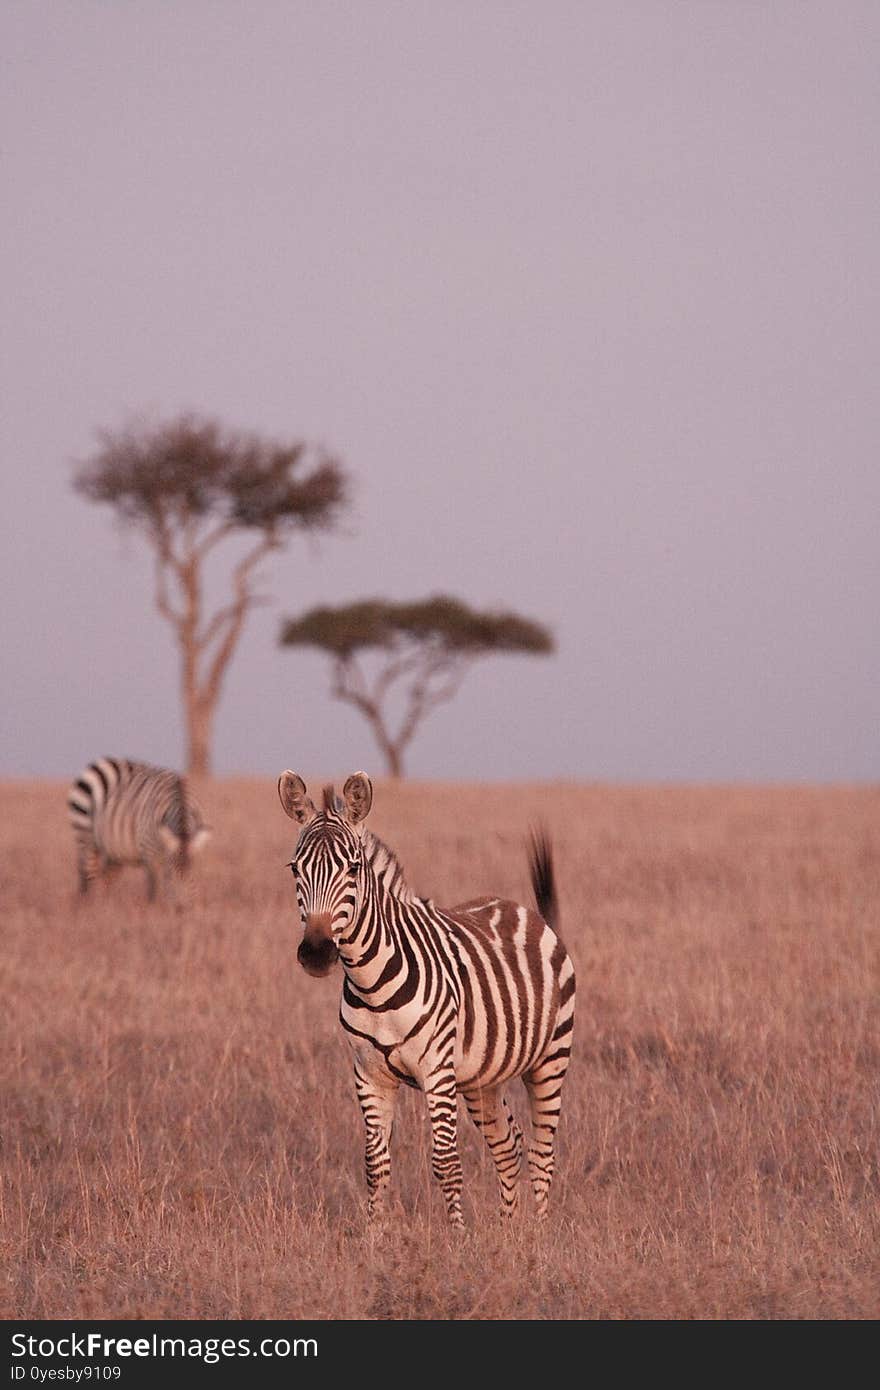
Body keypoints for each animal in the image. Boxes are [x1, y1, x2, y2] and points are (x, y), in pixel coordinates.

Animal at [67, 761, 208, 900]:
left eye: (192, 874)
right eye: (172, 874)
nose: (182, 906)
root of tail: (98, 763)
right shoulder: (149, 850)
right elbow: (153, 887)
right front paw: (154, 906)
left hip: (114, 851)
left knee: (106, 877)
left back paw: (108, 903)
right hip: (86, 836)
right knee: (89, 876)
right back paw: (92, 904)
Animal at [278, 772, 572, 1228]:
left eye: (353, 868)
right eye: (295, 868)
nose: (316, 952)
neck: (371, 984)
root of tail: (523, 910)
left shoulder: (436, 1069)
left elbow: (446, 1162)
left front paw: (457, 1237)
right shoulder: (368, 1073)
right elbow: (375, 1164)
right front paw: (374, 1236)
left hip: (550, 1060)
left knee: (542, 1153)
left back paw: (538, 1234)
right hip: (482, 1078)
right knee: (508, 1145)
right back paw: (510, 1233)